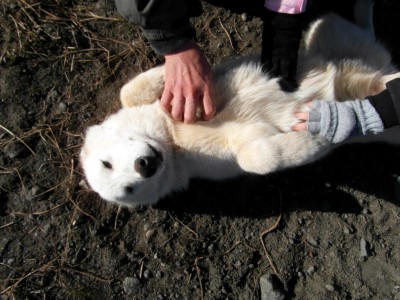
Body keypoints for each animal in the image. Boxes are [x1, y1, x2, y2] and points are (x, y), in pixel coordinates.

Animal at [80, 14, 400, 206]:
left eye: (105, 163)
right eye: (128, 190)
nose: (144, 166)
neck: (173, 141)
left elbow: (129, 91)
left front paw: (176, 72)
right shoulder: (233, 155)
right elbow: (256, 159)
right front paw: (313, 139)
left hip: (325, 27)